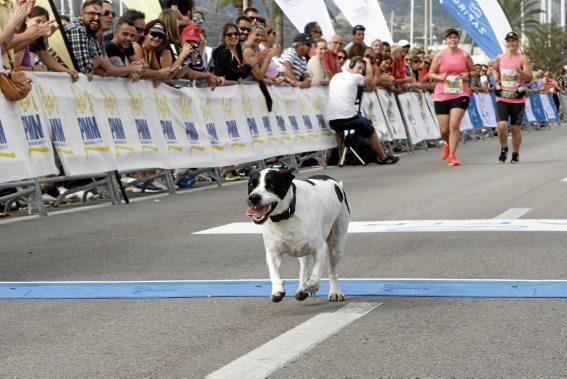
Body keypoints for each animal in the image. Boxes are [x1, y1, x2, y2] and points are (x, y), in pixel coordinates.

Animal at [247, 169, 350, 302]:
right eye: (251, 184)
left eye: (271, 185)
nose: (253, 197)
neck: (287, 215)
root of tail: (337, 184)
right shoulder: (273, 252)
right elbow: (273, 272)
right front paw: (277, 290)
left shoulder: (320, 248)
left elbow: (316, 275)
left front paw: (311, 286)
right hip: (302, 250)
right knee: (303, 269)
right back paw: (301, 289)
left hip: (337, 244)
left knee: (332, 270)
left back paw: (334, 292)